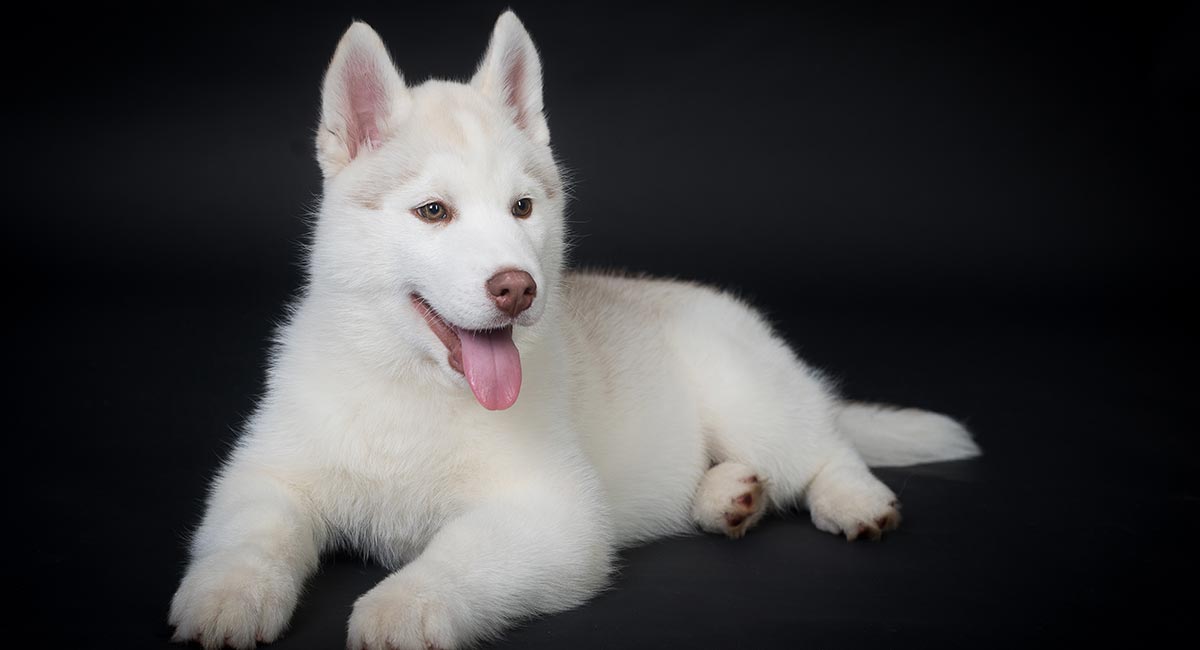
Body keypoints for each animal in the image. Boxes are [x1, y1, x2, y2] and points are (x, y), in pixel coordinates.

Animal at [166, 11, 974, 650]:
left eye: (522, 207)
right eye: (434, 212)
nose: (517, 287)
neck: (413, 386)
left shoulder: (550, 511)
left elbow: (458, 554)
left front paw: (403, 607)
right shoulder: (268, 472)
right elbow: (249, 531)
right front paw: (227, 596)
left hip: (748, 390)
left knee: (823, 448)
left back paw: (852, 499)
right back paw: (728, 496)